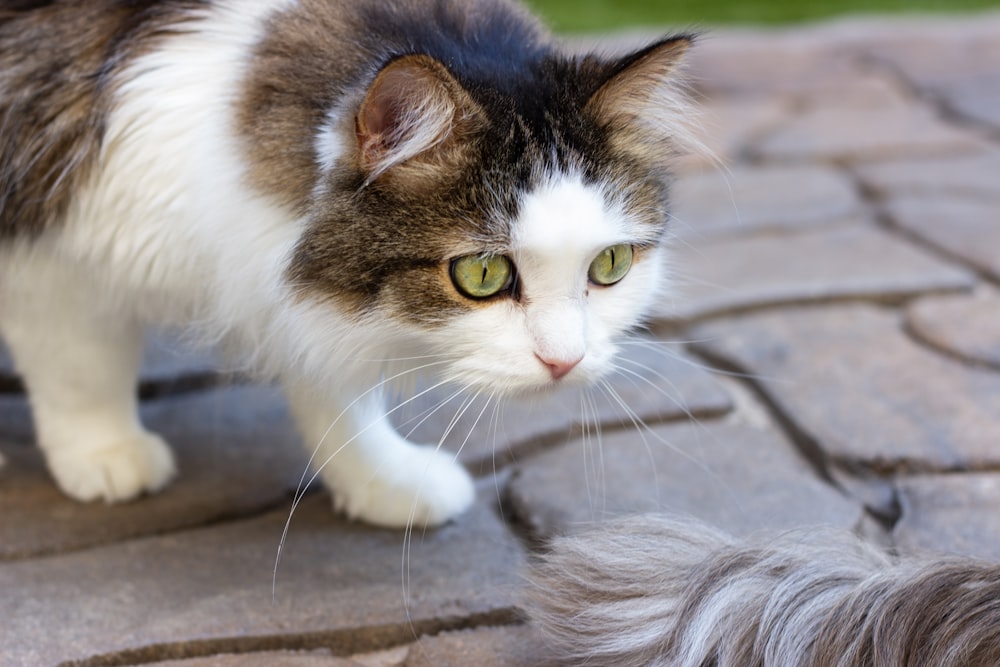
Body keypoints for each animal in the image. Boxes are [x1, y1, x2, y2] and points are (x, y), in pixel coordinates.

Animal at [0, 0, 696, 528]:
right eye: (482, 275)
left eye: (609, 265)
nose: (565, 363)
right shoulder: (45, 247)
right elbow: (82, 368)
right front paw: (104, 452)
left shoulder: (304, 290)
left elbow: (340, 393)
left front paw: (382, 480)